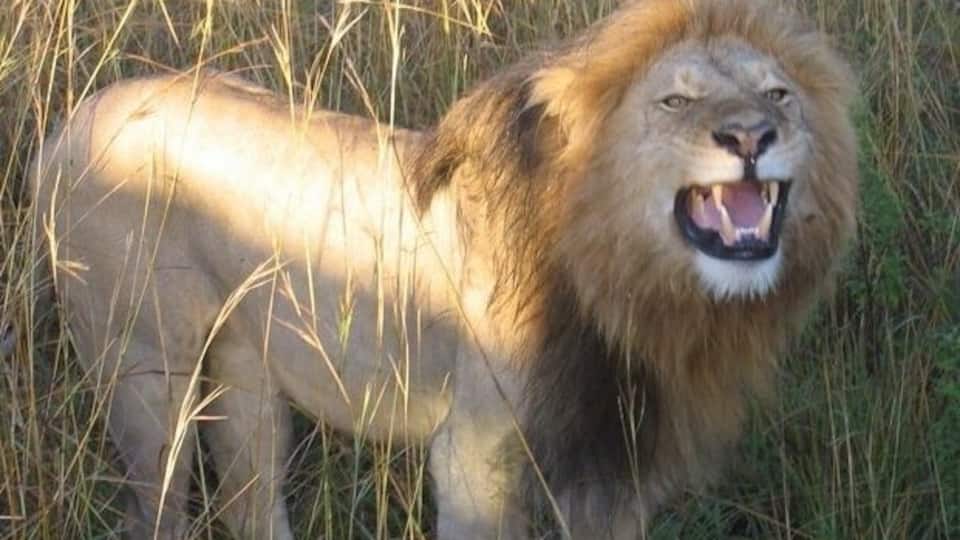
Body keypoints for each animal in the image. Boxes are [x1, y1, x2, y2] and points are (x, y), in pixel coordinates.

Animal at [27, 0, 857, 538]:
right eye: (676, 100)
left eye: (777, 93)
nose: (752, 135)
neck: (628, 286)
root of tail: (72, 120)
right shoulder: (476, 455)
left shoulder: (611, 464)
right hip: (143, 374)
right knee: (157, 507)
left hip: (243, 378)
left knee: (250, 505)